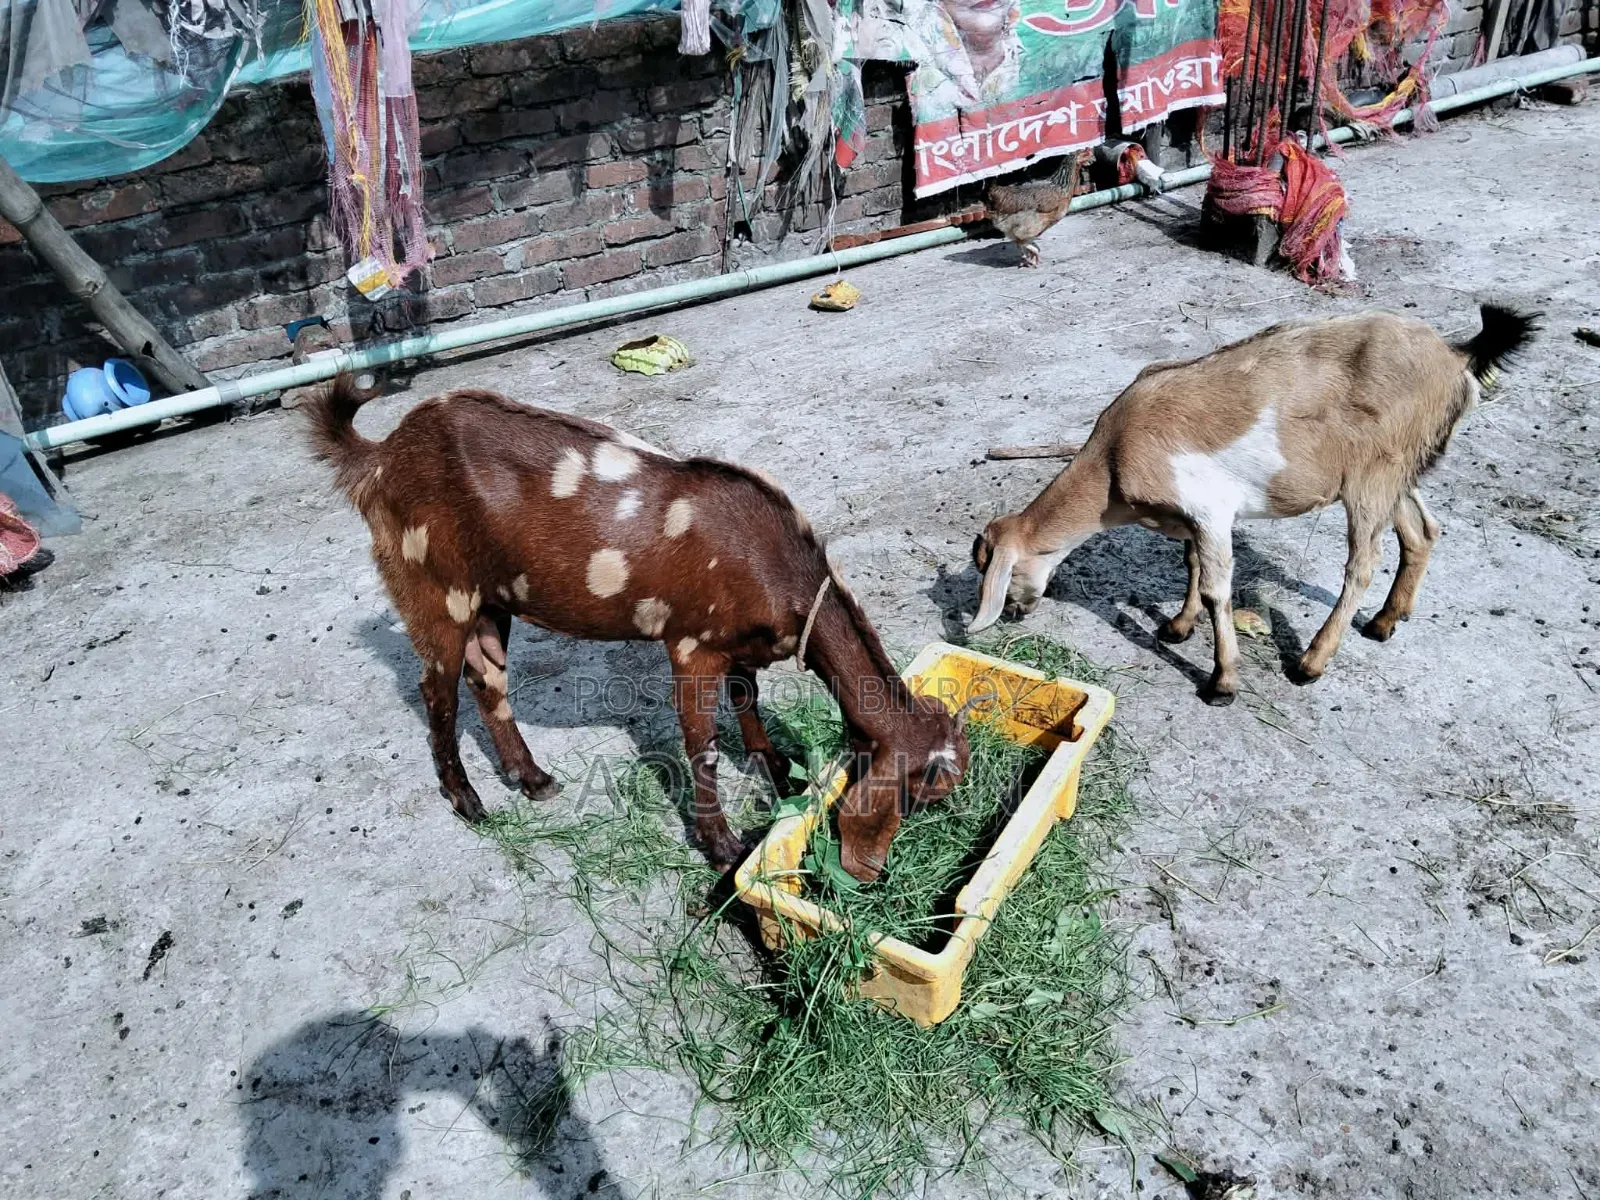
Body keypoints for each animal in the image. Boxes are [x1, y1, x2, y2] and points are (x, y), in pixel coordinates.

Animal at [306, 377, 969, 880]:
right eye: (921, 794)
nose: (874, 874)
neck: (780, 564)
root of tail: (381, 458)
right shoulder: (691, 645)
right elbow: (702, 749)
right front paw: (722, 847)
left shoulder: (739, 643)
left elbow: (748, 696)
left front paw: (772, 765)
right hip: (434, 588)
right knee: (436, 691)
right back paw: (468, 800)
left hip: (492, 600)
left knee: (486, 679)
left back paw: (533, 779)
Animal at [969, 304, 1538, 702]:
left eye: (996, 574)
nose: (1013, 613)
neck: (1113, 460)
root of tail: (1455, 357)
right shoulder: (1194, 519)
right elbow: (1192, 564)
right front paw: (1178, 627)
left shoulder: (1210, 509)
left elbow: (1217, 589)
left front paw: (1222, 682)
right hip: (1396, 469)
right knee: (1422, 531)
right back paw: (1383, 623)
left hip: (1371, 476)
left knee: (1363, 563)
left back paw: (1311, 662)